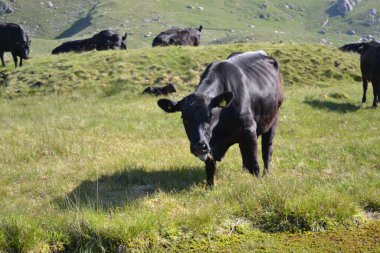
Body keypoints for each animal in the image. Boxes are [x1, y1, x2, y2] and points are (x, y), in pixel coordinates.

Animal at [156, 51, 284, 186]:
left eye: (210, 116)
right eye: (184, 118)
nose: (198, 146)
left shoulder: (249, 130)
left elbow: (254, 164)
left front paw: (258, 183)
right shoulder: (210, 144)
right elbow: (210, 167)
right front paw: (210, 186)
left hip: (273, 119)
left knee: (267, 150)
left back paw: (266, 174)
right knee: (243, 151)